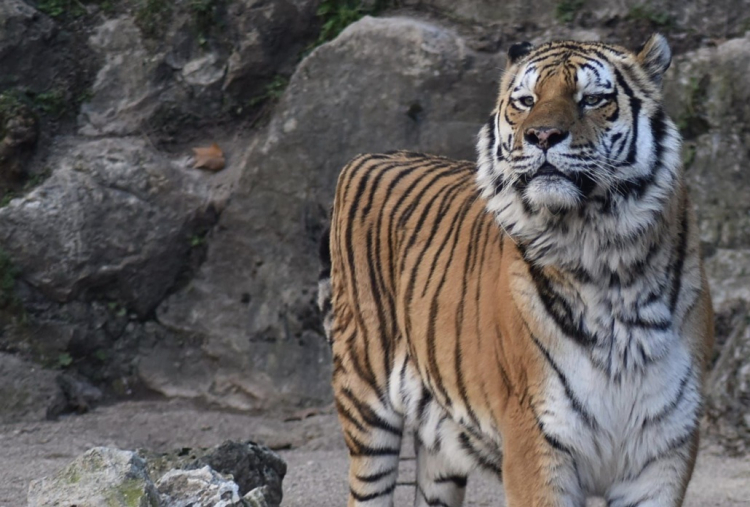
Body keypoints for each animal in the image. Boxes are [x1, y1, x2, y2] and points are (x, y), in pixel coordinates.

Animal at [318, 34, 716, 507]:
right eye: (526, 101)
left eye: (592, 99)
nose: (542, 135)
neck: (608, 261)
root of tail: (367, 156)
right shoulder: (537, 438)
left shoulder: (663, 451)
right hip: (364, 397)